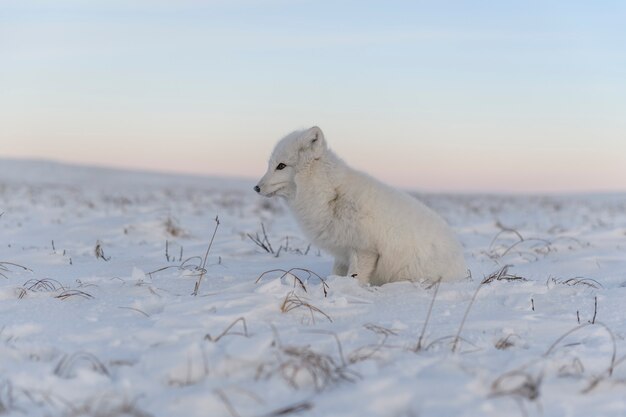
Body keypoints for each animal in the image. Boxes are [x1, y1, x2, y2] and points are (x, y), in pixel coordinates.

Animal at [252, 125, 464, 284]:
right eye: (270, 165)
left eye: (281, 166)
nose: (256, 187)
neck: (331, 193)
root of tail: (460, 264)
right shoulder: (342, 251)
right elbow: (337, 273)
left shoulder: (365, 249)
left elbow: (356, 278)